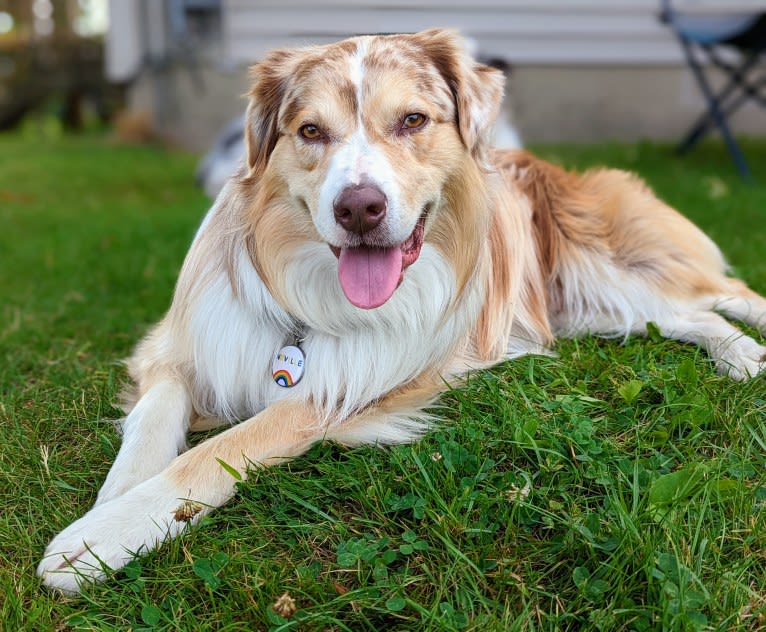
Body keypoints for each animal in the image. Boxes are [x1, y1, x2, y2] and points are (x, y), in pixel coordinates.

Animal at [37, 28, 766, 592]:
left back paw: (748, 348)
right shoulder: (178, 344)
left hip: (612, 267)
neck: (306, 295)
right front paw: (114, 502)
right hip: (596, 307)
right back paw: (740, 358)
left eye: (413, 120)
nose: (359, 208)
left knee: (724, 296)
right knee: (692, 318)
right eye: (310, 131)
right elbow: (155, 418)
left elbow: (220, 450)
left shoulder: (344, 388)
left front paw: (101, 537)